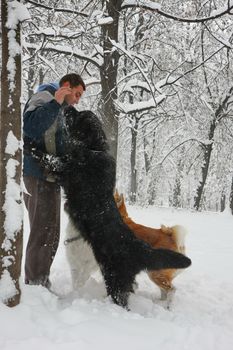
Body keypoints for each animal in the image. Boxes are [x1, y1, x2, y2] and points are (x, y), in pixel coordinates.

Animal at [31, 106, 191, 308]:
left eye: (78, 115)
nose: (67, 107)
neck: (93, 148)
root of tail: (139, 248)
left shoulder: (66, 169)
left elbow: (50, 158)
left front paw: (31, 146)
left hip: (116, 279)